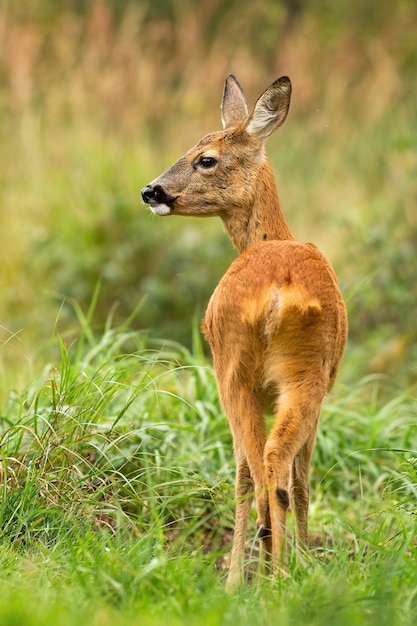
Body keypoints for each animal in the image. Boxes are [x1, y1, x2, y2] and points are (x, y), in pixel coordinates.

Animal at [141, 75, 346, 588]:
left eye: (206, 158)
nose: (151, 191)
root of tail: (279, 288)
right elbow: (298, 478)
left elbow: (262, 476)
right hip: (301, 375)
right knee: (274, 469)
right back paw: (278, 574)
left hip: (236, 370)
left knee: (259, 470)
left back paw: (256, 576)